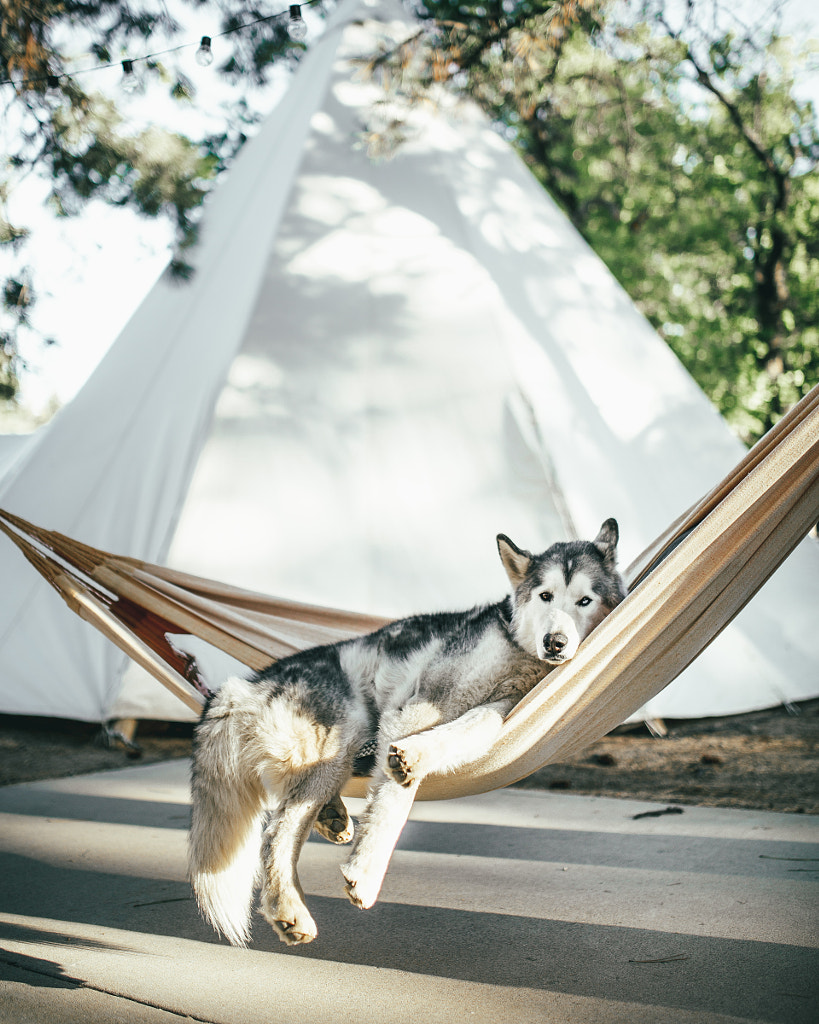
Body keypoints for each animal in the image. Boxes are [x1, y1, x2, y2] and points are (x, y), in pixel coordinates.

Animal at [190, 524, 626, 946]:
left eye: (585, 600)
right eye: (545, 596)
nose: (555, 643)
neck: (518, 650)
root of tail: (239, 689)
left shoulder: (503, 705)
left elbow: (476, 726)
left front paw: (416, 756)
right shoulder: (417, 707)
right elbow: (394, 800)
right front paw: (367, 870)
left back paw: (331, 817)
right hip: (340, 739)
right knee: (277, 833)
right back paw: (289, 908)